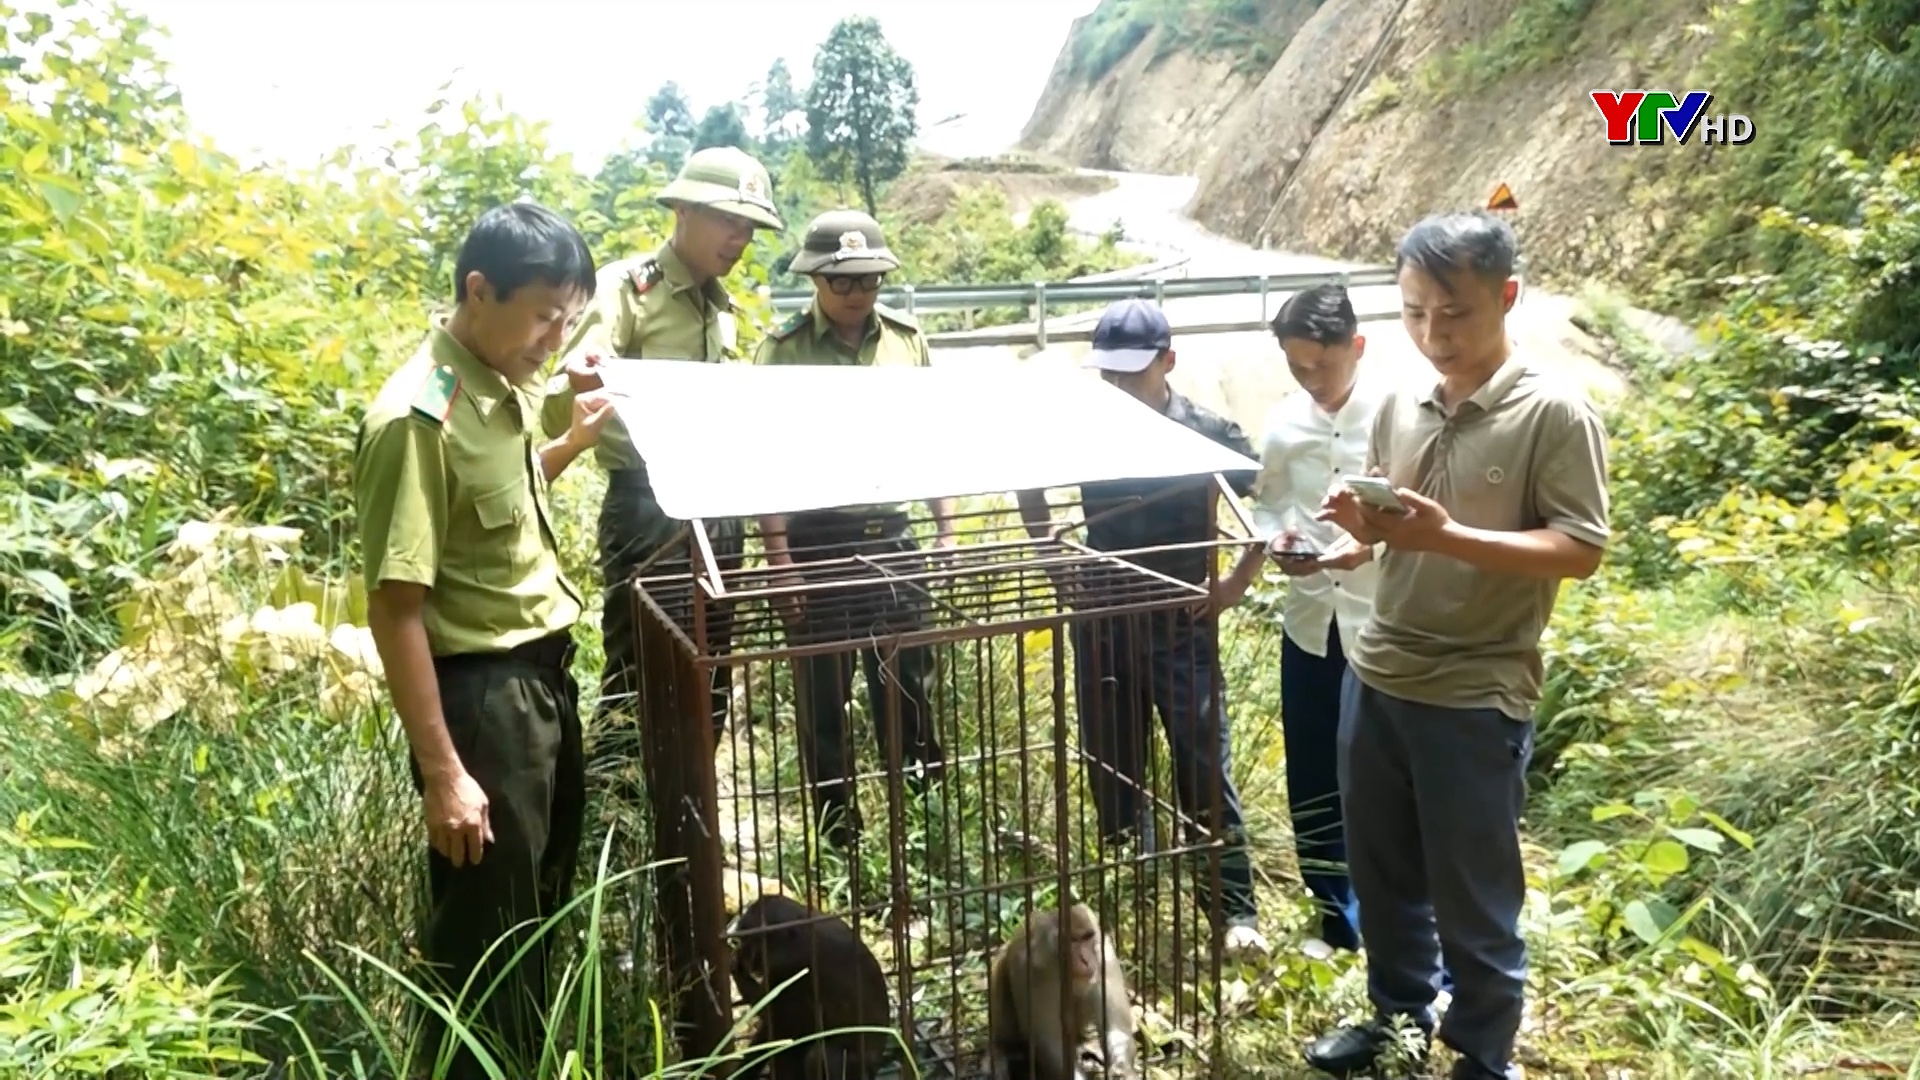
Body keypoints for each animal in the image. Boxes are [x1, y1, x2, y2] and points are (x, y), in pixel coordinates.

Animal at [729, 891, 894, 1076]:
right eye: (743, 939)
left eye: (750, 940)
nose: (743, 952)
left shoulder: (792, 967)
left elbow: (780, 1017)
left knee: (820, 1055)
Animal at [990, 899, 1136, 1076]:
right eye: (1072, 940)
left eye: (1087, 937)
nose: (1086, 960)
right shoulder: (1033, 971)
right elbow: (1049, 1041)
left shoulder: (1104, 958)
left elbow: (1115, 1026)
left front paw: (1121, 1069)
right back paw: (1001, 1051)